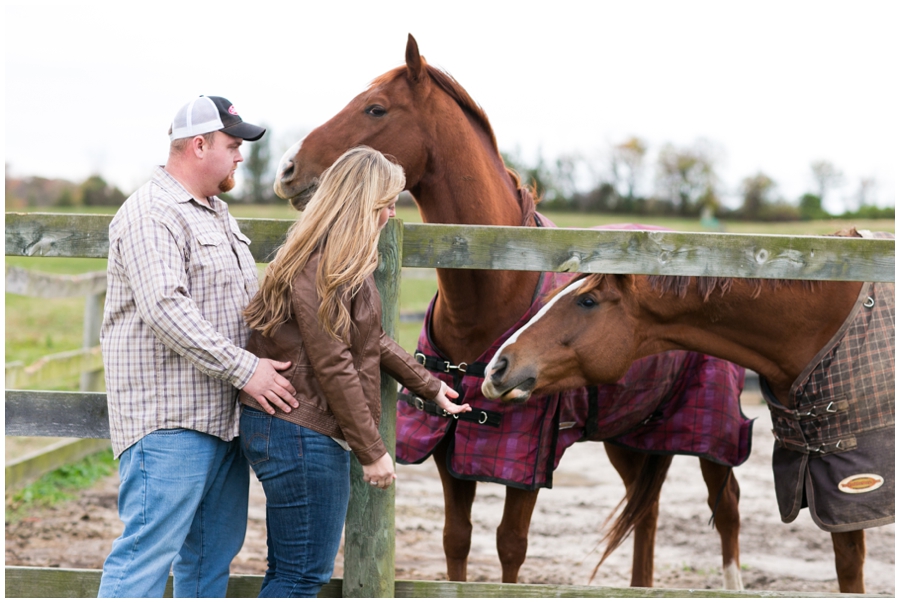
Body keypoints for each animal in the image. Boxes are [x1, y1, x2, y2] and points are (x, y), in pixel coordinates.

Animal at [276, 34, 752, 588]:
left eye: (375, 108)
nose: (287, 169)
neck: (493, 287)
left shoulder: (526, 465)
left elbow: (510, 545)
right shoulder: (450, 449)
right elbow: (456, 539)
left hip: (711, 436)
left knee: (728, 507)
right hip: (629, 434)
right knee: (646, 510)